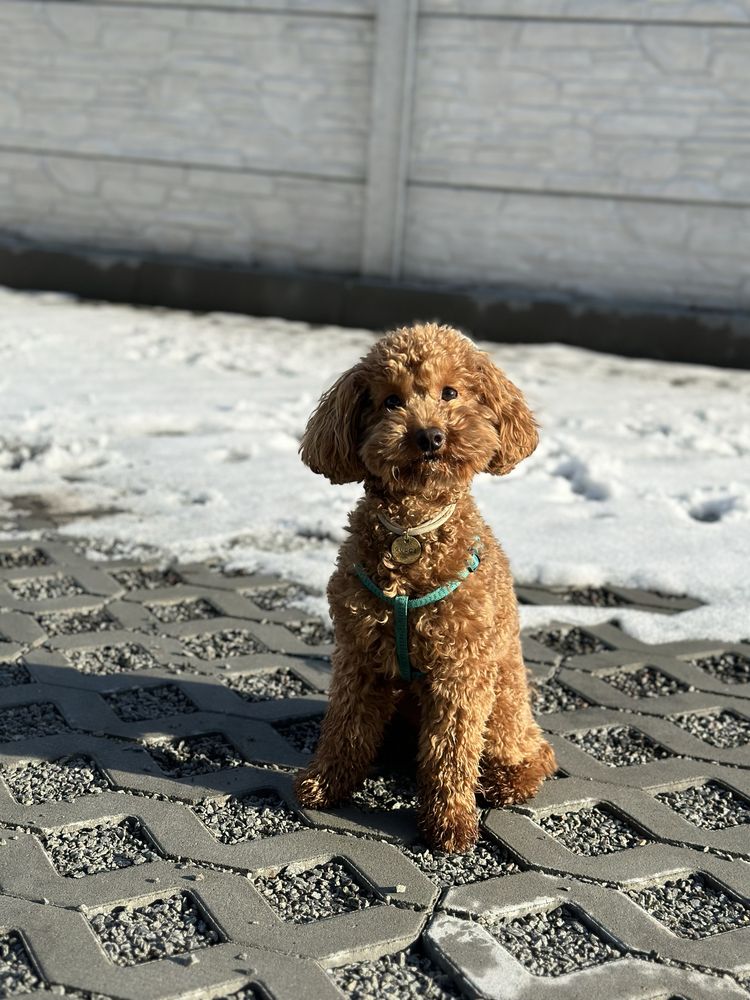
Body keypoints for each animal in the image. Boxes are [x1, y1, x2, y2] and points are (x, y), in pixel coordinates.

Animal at [296, 322, 560, 852]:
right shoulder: (358, 654)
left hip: (504, 702)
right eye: (391, 401)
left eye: (451, 392)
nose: (430, 435)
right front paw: (326, 783)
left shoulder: (461, 668)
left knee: (535, 756)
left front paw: (450, 822)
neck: (413, 529)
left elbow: (451, 753)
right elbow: (345, 727)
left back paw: (505, 781)